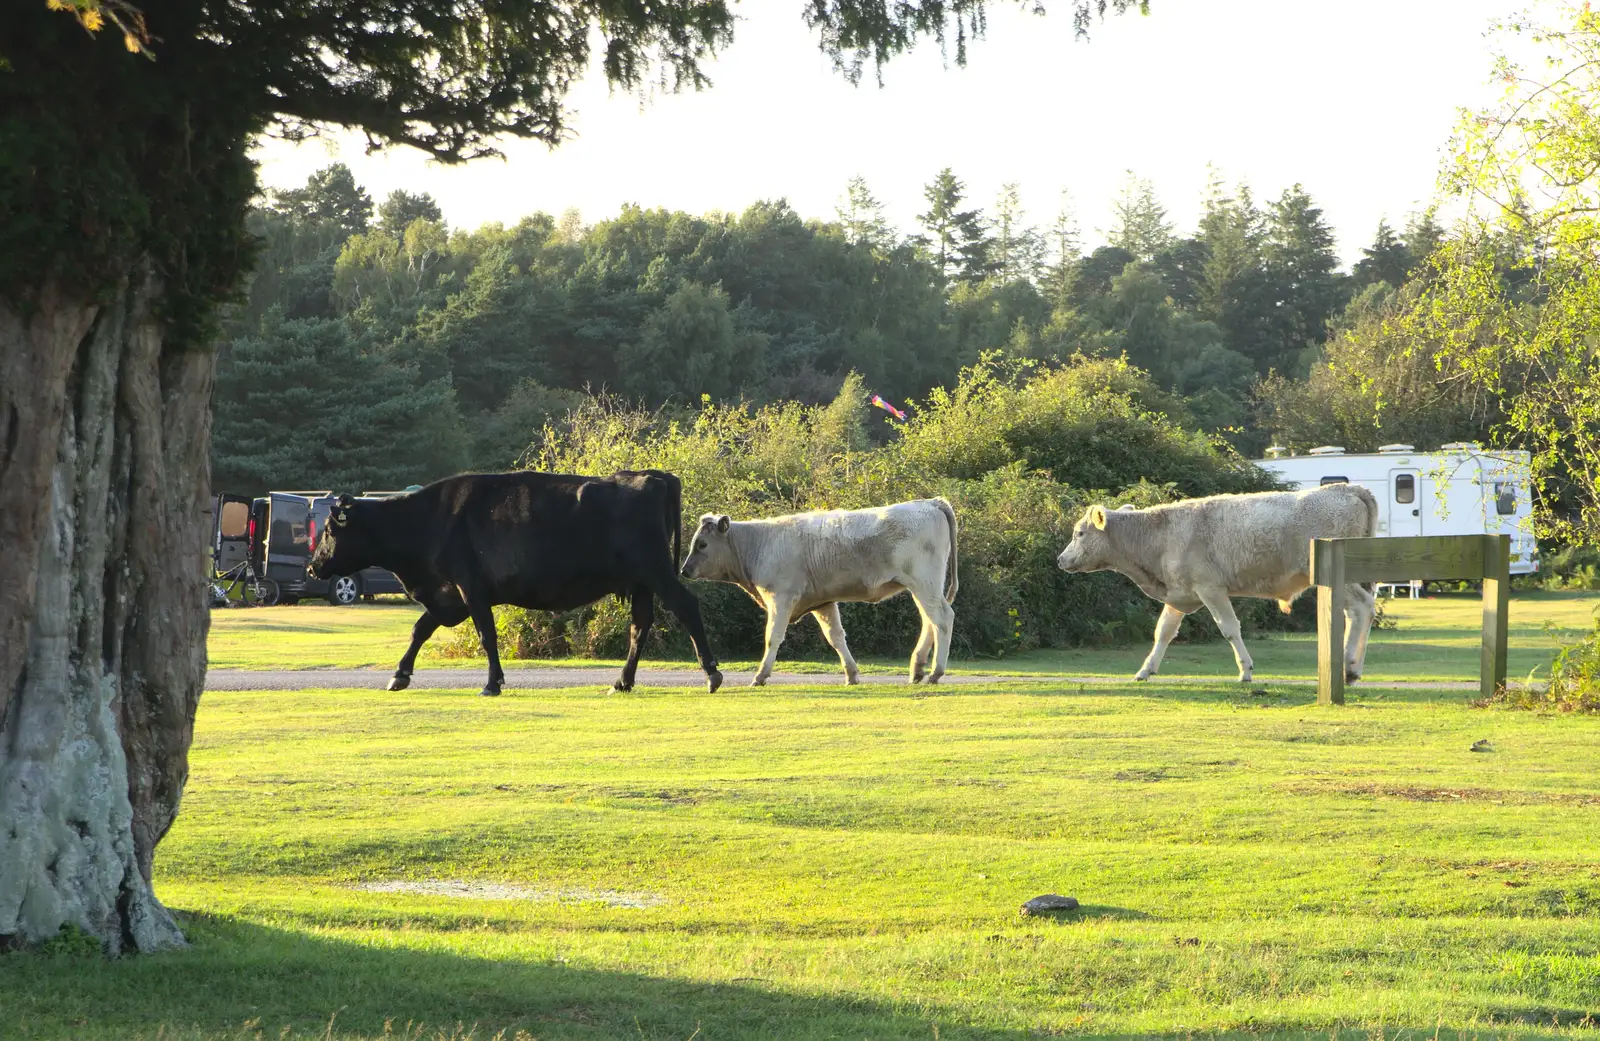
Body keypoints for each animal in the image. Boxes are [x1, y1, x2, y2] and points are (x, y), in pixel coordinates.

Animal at [305, 466, 720, 697]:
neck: (428, 520)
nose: (312, 567)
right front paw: (399, 675)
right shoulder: (449, 596)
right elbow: (420, 629)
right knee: (640, 626)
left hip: (656, 571)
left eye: (328, 530)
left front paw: (492, 684)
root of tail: (651, 476)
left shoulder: (470, 589)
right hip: (640, 583)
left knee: (686, 607)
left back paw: (712, 673)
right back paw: (622, 682)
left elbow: (486, 636)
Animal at [678, 502, 953, 687]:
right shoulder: (823, 602)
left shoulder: (781, 598)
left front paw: (760, 676)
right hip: (921, 587)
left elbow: (772, 637)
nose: (684, 569)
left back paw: (935, 672)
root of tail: (929, 502)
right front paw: (851, 675)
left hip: (924, 583)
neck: (760, 542)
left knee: (942, 619)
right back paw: (917, 669)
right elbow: (836, 637)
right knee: (929, 621)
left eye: (702, 544)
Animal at [1056, 486, 1382, 684]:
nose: (1060, 559)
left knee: (1361, 609)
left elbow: (1229, 628)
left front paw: (1245, 671)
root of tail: (1347, 488)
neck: (1160, 536)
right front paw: (1145, 669)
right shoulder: (1180, 592)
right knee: (1360, 612)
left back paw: (1349, 666)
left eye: (1080, 533)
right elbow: (1163, 632)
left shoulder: (1210, 588)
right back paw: (1354, 668)